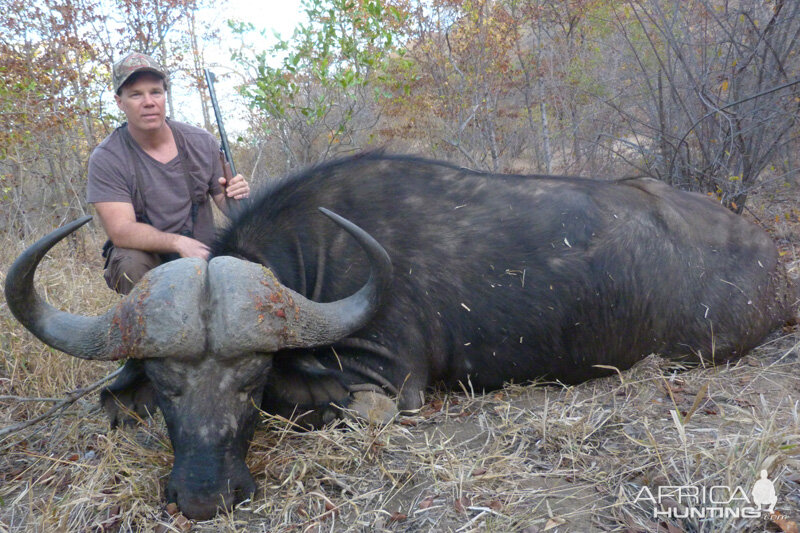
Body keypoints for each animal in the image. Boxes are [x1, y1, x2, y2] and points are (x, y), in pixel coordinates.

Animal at [4, 152, 792, 516]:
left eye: (251, 381)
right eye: (168, 386)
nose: (205, 497)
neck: (317, 257)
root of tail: (772, 264)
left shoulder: (386, 386)